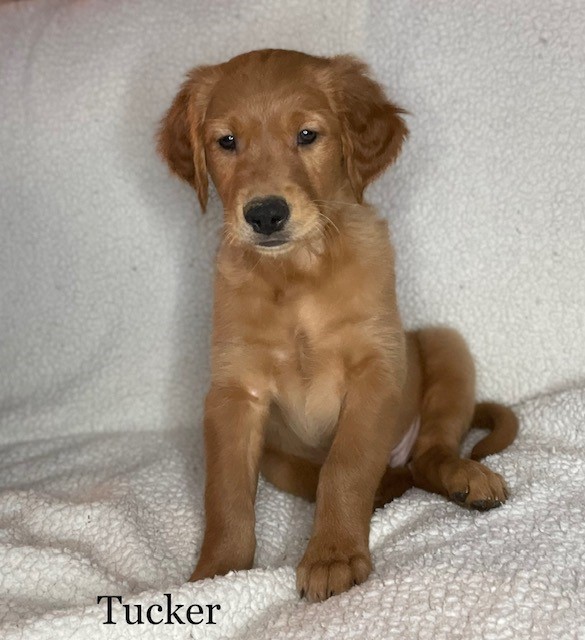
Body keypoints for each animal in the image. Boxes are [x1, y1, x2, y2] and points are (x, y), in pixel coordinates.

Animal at [156, 48, 516, 600]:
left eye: (307, 135)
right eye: (227, 142)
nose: (265, 214)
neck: (298, 273)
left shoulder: (376, 369)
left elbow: (346, 466)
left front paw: (333, 555)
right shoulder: (234, 392)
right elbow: (226, 494)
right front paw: (216, 574)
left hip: (445, 348)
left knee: (430, 455)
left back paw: (465, 477)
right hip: (280, 460)